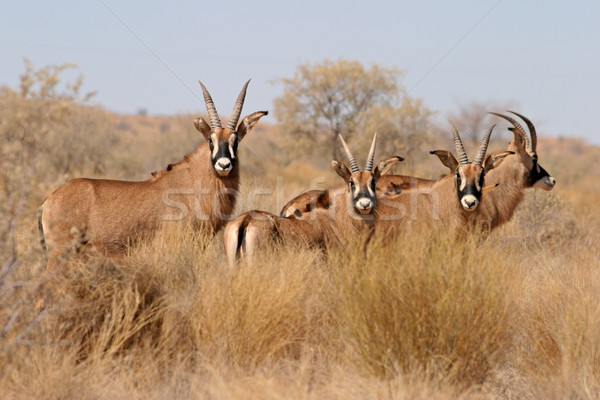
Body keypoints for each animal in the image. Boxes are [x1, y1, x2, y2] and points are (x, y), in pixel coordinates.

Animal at [39, 80, 268, 272]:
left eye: (235, 140)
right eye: (211, 140)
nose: (224, 165)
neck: (191, 184)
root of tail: (49, 200)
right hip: (61, 255)